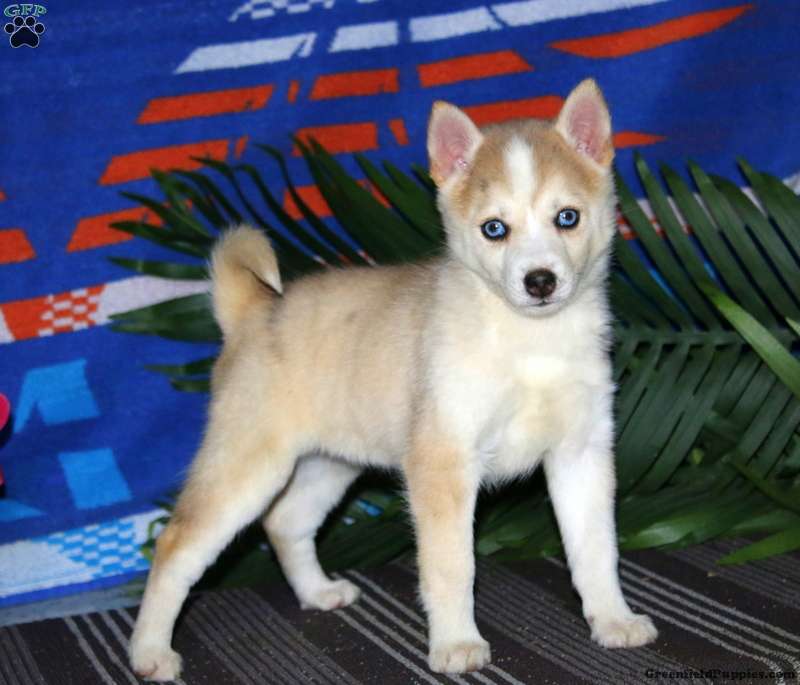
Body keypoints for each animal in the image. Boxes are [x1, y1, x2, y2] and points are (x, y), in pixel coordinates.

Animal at [129, 78, 657, 680]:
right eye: (494, 229)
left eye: (566, 218)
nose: (540, 281)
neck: (530, 343)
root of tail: (252, 310)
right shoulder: (444, 464)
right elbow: (452, 566)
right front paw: (456, 643)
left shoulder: (581, 454)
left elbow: (596, 551)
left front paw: (613, 620)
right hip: (246, 468)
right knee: (176, 546)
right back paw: (149, 652)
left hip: (329, 464)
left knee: (286, 523)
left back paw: (318, 593)